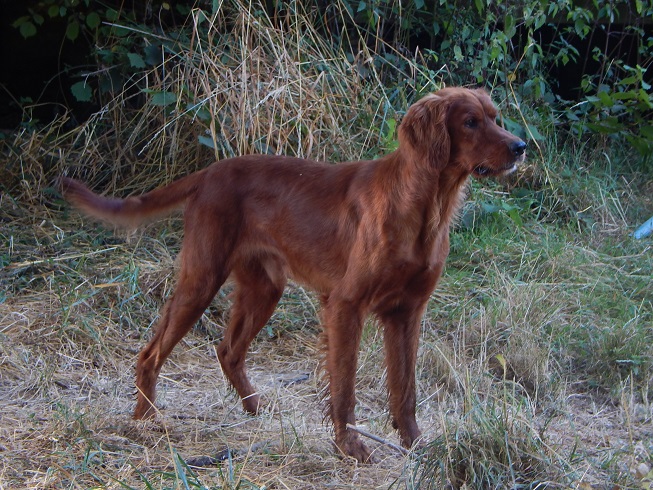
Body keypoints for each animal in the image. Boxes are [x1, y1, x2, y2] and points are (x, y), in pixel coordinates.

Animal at [59, 86, 524, 462]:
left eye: (496, 116)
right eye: (470, 121)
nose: (520, 146)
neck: (425, 205)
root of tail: (209, 173)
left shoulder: (407, 312)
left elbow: (405, 389)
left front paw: (415, 445)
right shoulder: (346, 305)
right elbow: (344, 389)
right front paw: (350, 446)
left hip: (266, 287)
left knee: (228, 350)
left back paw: (255, 409)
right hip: (201, 279)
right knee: (151, 353)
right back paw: (145, 421)